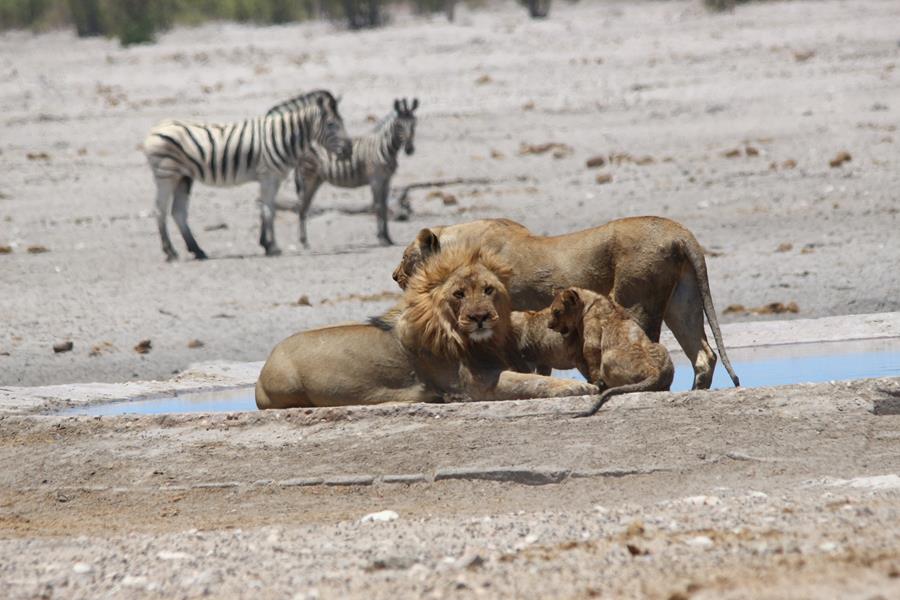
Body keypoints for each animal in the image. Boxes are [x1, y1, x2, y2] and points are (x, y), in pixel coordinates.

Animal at [142, 93, 351, 260]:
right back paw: (170, 252)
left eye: (342, 122)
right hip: (166, 175)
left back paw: (198, 251)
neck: (283, 136)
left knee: (178, 212)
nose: (348, 150)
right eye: (331, 124)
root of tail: (154, 129)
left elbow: (267, 208)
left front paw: (266, 244)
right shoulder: (268, 175)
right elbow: (268, 210)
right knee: (161, 210)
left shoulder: (274, 178)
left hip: (183, 177)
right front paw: (273, 247)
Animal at [255, 245, 597, 409]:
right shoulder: (474, 385)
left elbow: (530, 375)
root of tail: (265, 364)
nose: (480, 317)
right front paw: (577, 387)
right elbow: (529, 382)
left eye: (488, 290)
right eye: (459, 294)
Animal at [291, 97, 418, 247]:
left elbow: (385, 206)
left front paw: (388, 237)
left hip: (315, 180)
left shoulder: (387, 180)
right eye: (398, 125)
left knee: (304, 206)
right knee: (301, 206)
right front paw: (381, 238)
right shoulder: (376, 179)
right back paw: (303, 241)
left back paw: (303, 240)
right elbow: (378, 206)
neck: (384, 147)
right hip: (308, 178)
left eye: (415, 123)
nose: (409, 150)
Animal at [391, 216, 739, 391]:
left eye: (406, 257)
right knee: (704, 355)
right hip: (683, 300)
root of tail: (680, 233)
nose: (394, 276)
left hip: (636, 297)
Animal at [548, 287, 675, 417]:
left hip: (608, 357)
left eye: (556, 311)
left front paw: (595, 385)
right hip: (659, 347)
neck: (590, 301)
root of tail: (654, 373)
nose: (549, 326)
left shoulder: (591, 341)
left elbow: (593, 365)